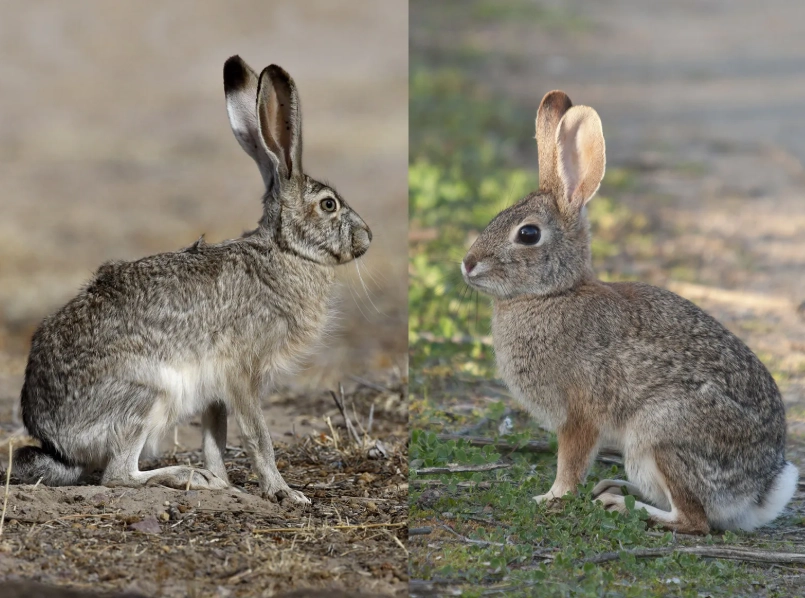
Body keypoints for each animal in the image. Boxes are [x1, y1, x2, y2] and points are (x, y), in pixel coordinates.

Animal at [13, 56, 372, 505]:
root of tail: (55, 440)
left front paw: (223, 482)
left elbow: (215, 436)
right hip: (145, 397)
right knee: (117, 475)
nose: (367, 238)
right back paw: (187, 476)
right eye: (328, 205)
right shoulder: (241, 372)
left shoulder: (215, 387)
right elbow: (257, 437)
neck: (285, 250)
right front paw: (284, 493)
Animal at [461, 90, 797, 534]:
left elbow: (571, 462)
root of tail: (759, 492)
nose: (467, 264)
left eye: (528, 234)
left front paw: (550, 497)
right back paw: (614, 487)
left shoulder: (580, 413)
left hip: (658, 434)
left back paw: (620, 506)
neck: (553, 293)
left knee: (694, 520)